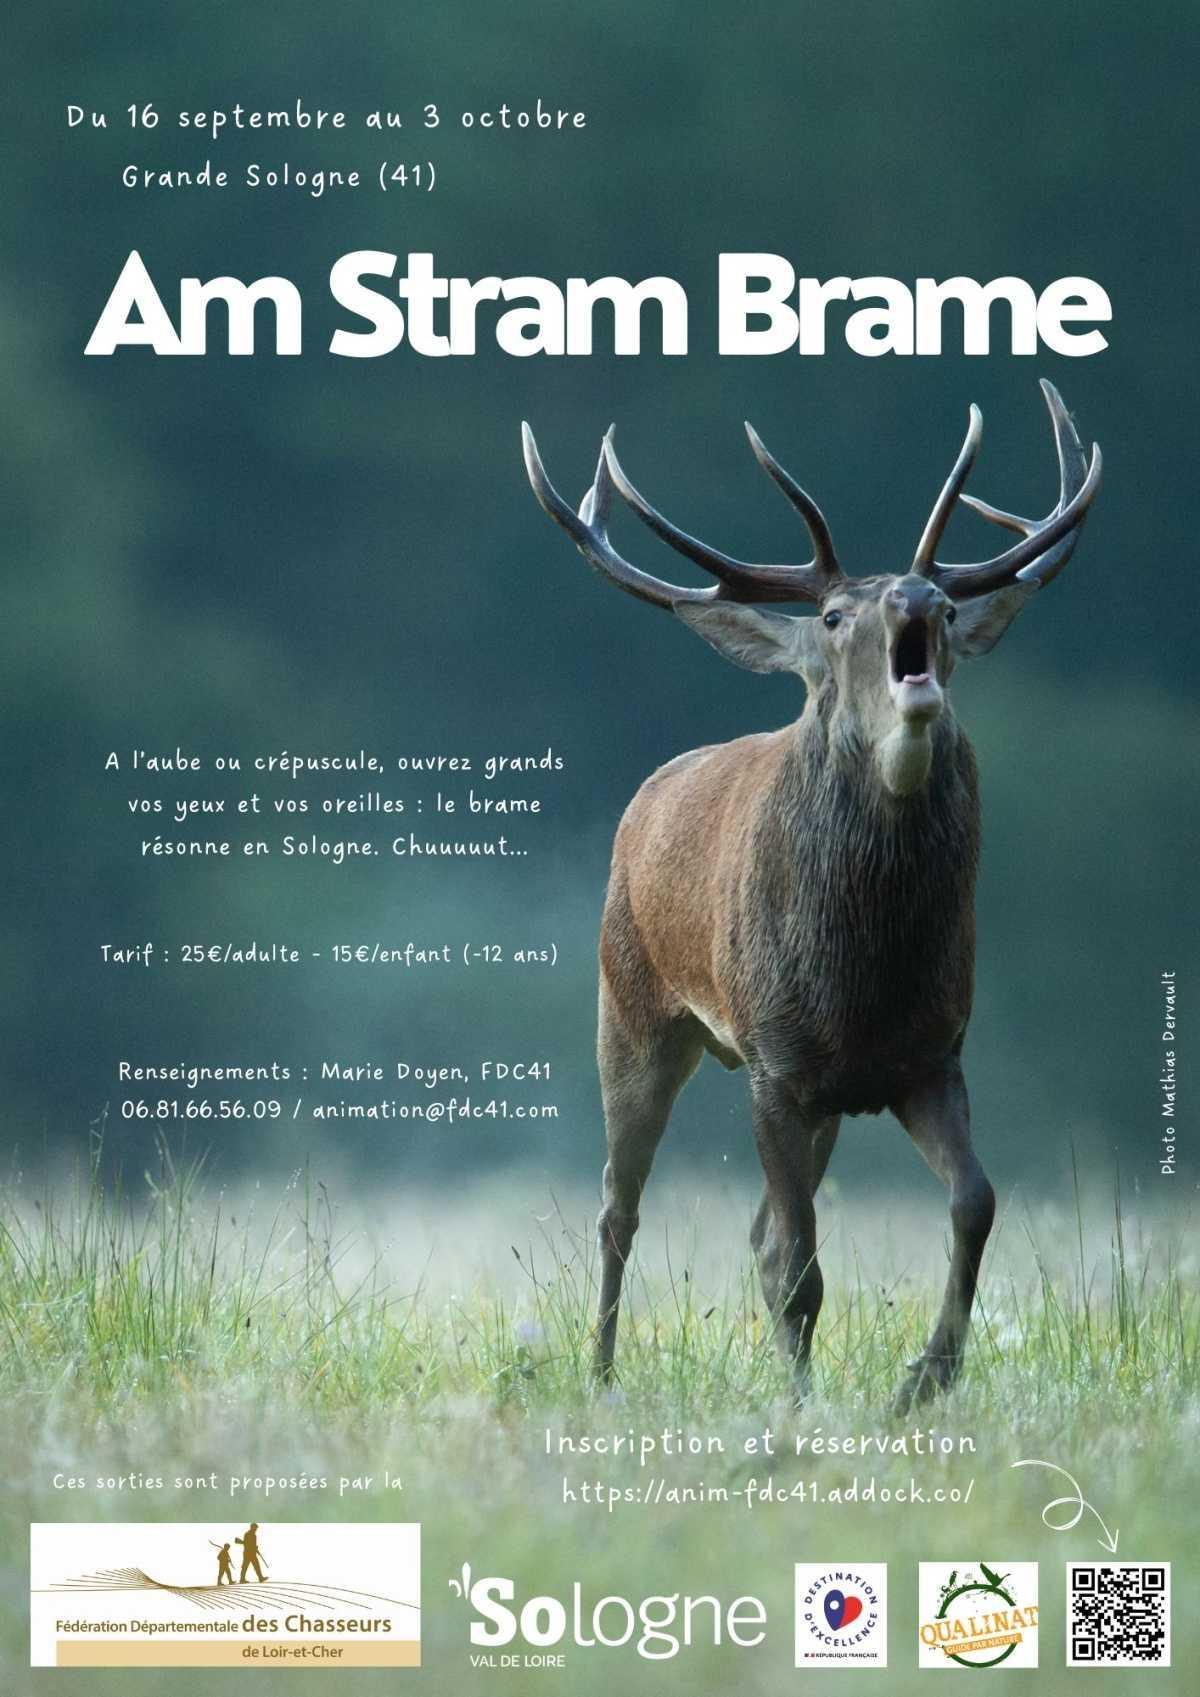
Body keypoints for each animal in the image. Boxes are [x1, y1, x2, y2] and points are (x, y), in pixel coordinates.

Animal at [521, 381, 1100, 1411]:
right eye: (833, 615)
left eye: (948, 604)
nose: (918, 598)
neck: (864, 976)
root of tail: (643, 796)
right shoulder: (776, 1062)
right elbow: (799, 1262)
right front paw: (800, 1406)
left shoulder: (930, 1054)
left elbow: (974, 1202)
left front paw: (925, 1377)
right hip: (629, 1010)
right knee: (617, 1207)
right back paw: (601, 1373)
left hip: (815, 1094)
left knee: (749, 1231)